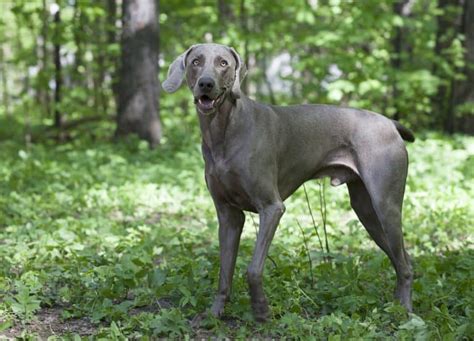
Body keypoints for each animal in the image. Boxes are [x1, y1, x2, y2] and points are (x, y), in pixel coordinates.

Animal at [163, 43, 414, 322]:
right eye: (196, 61)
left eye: (223, 63)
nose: (206, 83)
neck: (223, 131)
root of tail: (389, 122)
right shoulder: (228, 216)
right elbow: (224, 272)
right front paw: (215, 312)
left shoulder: (271, 208)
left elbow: (252, 269)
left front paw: (261, 310)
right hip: (365, 209)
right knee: (403, 258)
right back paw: (395, 304)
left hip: (385, 204)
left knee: (404, 263)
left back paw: (405, 311)